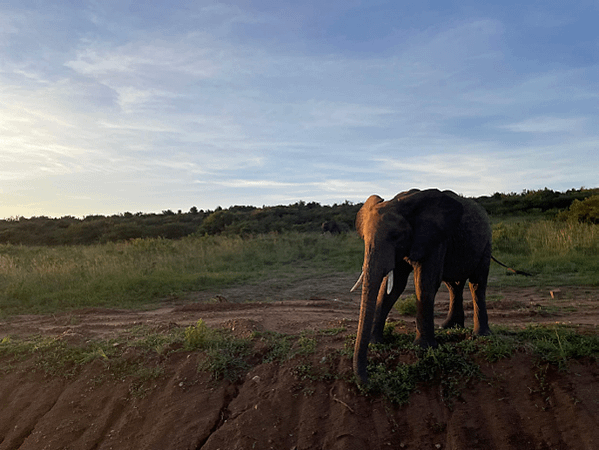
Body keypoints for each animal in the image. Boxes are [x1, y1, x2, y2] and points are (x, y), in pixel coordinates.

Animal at [352, 189, 492, 384]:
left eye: (396, 236)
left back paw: (481, 335)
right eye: (364, 238)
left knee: (477, 283)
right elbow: (393, 287)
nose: (370, 379)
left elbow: (424, 282)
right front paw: (375, 342)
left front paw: (423, 348)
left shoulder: (435, 239)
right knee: (453, 285)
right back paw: (449, 327)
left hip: (486, 242)